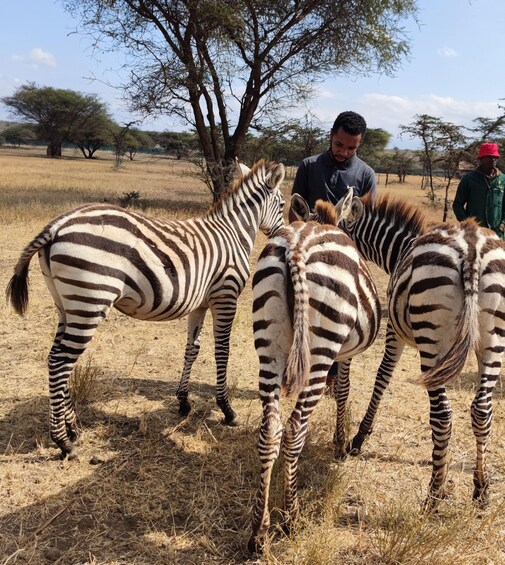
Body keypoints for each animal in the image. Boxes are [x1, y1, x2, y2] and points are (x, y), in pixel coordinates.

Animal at [5, 159, 286, 458]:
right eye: (282, 205)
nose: (281, 235)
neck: (233, 233)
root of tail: (57, 225)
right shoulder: (225, 295)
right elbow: (222, 351)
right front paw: (227, 409)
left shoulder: (200, 303)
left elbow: (192, 349)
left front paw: (183, 402)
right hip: (90, 301)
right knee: (61, 361)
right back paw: (63, 441)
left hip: (66, 305)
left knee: (56, 358)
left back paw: (72, 429)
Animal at [248, 193, 378, 552]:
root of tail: (297, 246)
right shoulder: (344, 354)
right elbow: (344, 390)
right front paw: (340, 445)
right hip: (321, 349)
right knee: (294, 430)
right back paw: (291, 518)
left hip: (269, 346)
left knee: (270, 430)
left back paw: (259, 531)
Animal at [334, 192, 504, 508]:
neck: (400, 248)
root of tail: (471, 248)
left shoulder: (394, 331)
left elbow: (382, 377)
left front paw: (360, 437)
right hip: (492, 341)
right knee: (482, 410)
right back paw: (481, 489)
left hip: (432, 341)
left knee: (442, 414)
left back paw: (434, 495)